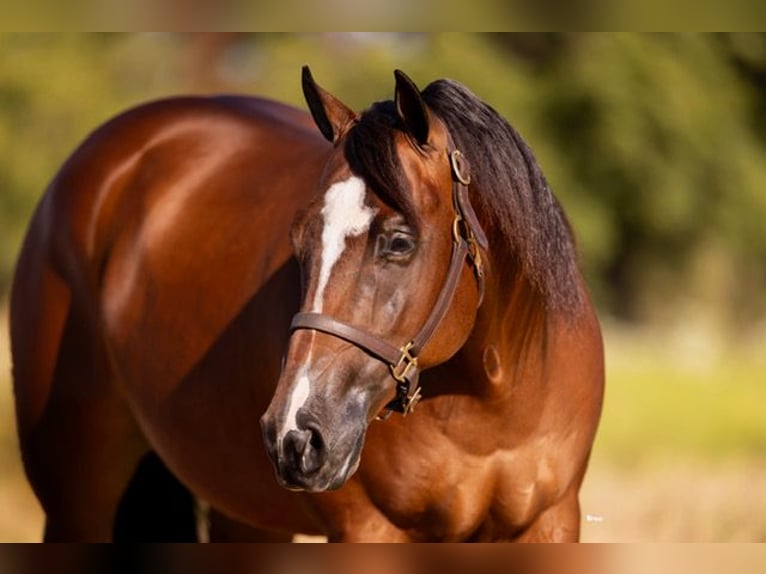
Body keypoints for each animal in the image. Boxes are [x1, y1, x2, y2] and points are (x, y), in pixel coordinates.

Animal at [10, 66, 604, 542]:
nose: (293, 436)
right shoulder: (369, 531)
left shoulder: (551, 522)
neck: (490, 406)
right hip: (75, 504)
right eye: (298, 241)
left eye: (400, 241)